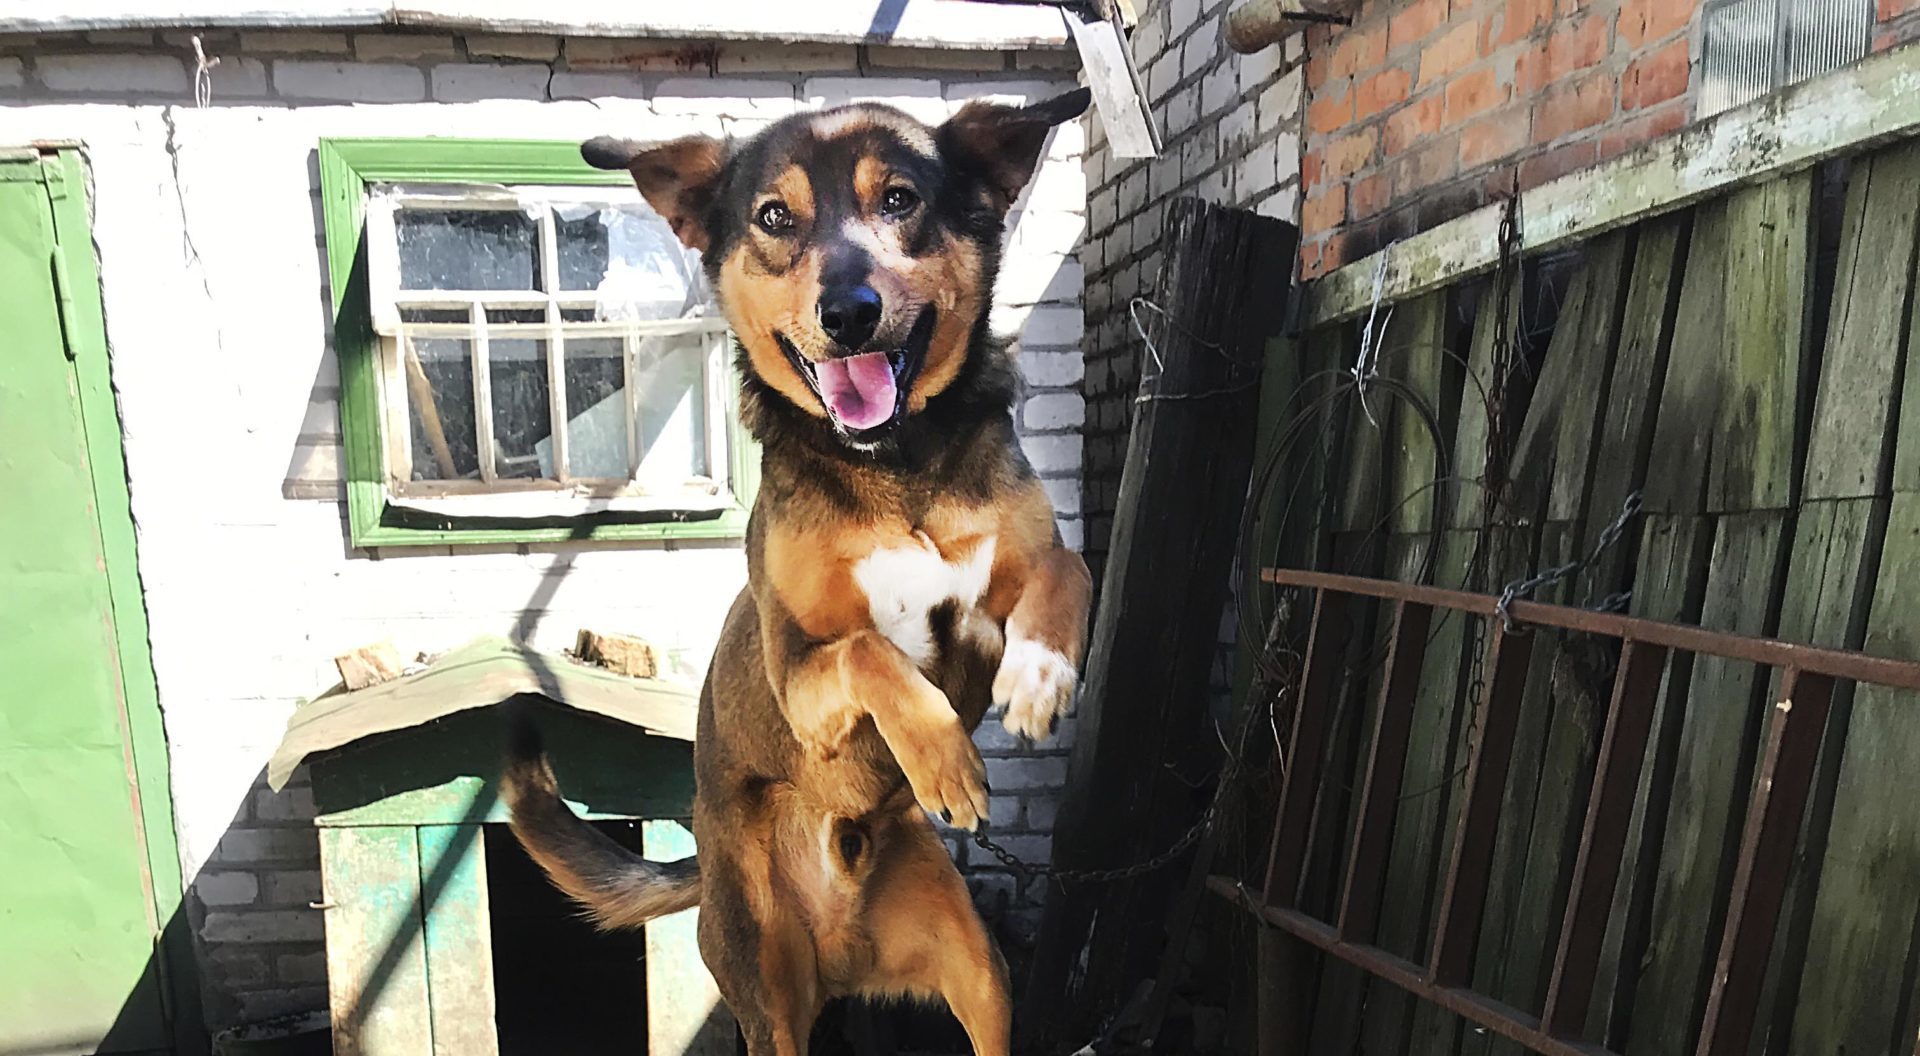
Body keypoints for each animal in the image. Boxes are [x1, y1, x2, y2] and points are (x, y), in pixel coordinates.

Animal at [499, 91, 1098, 1056]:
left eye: (899, 200)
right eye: (775, 218)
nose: (848, 311)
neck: (889, 464)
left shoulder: (1013, 577)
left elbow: (1067, 566)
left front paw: (1040, 676)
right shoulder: (800, 676)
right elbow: (869, 650)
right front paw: (943, 761)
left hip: (980, 974)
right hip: (765, 982)